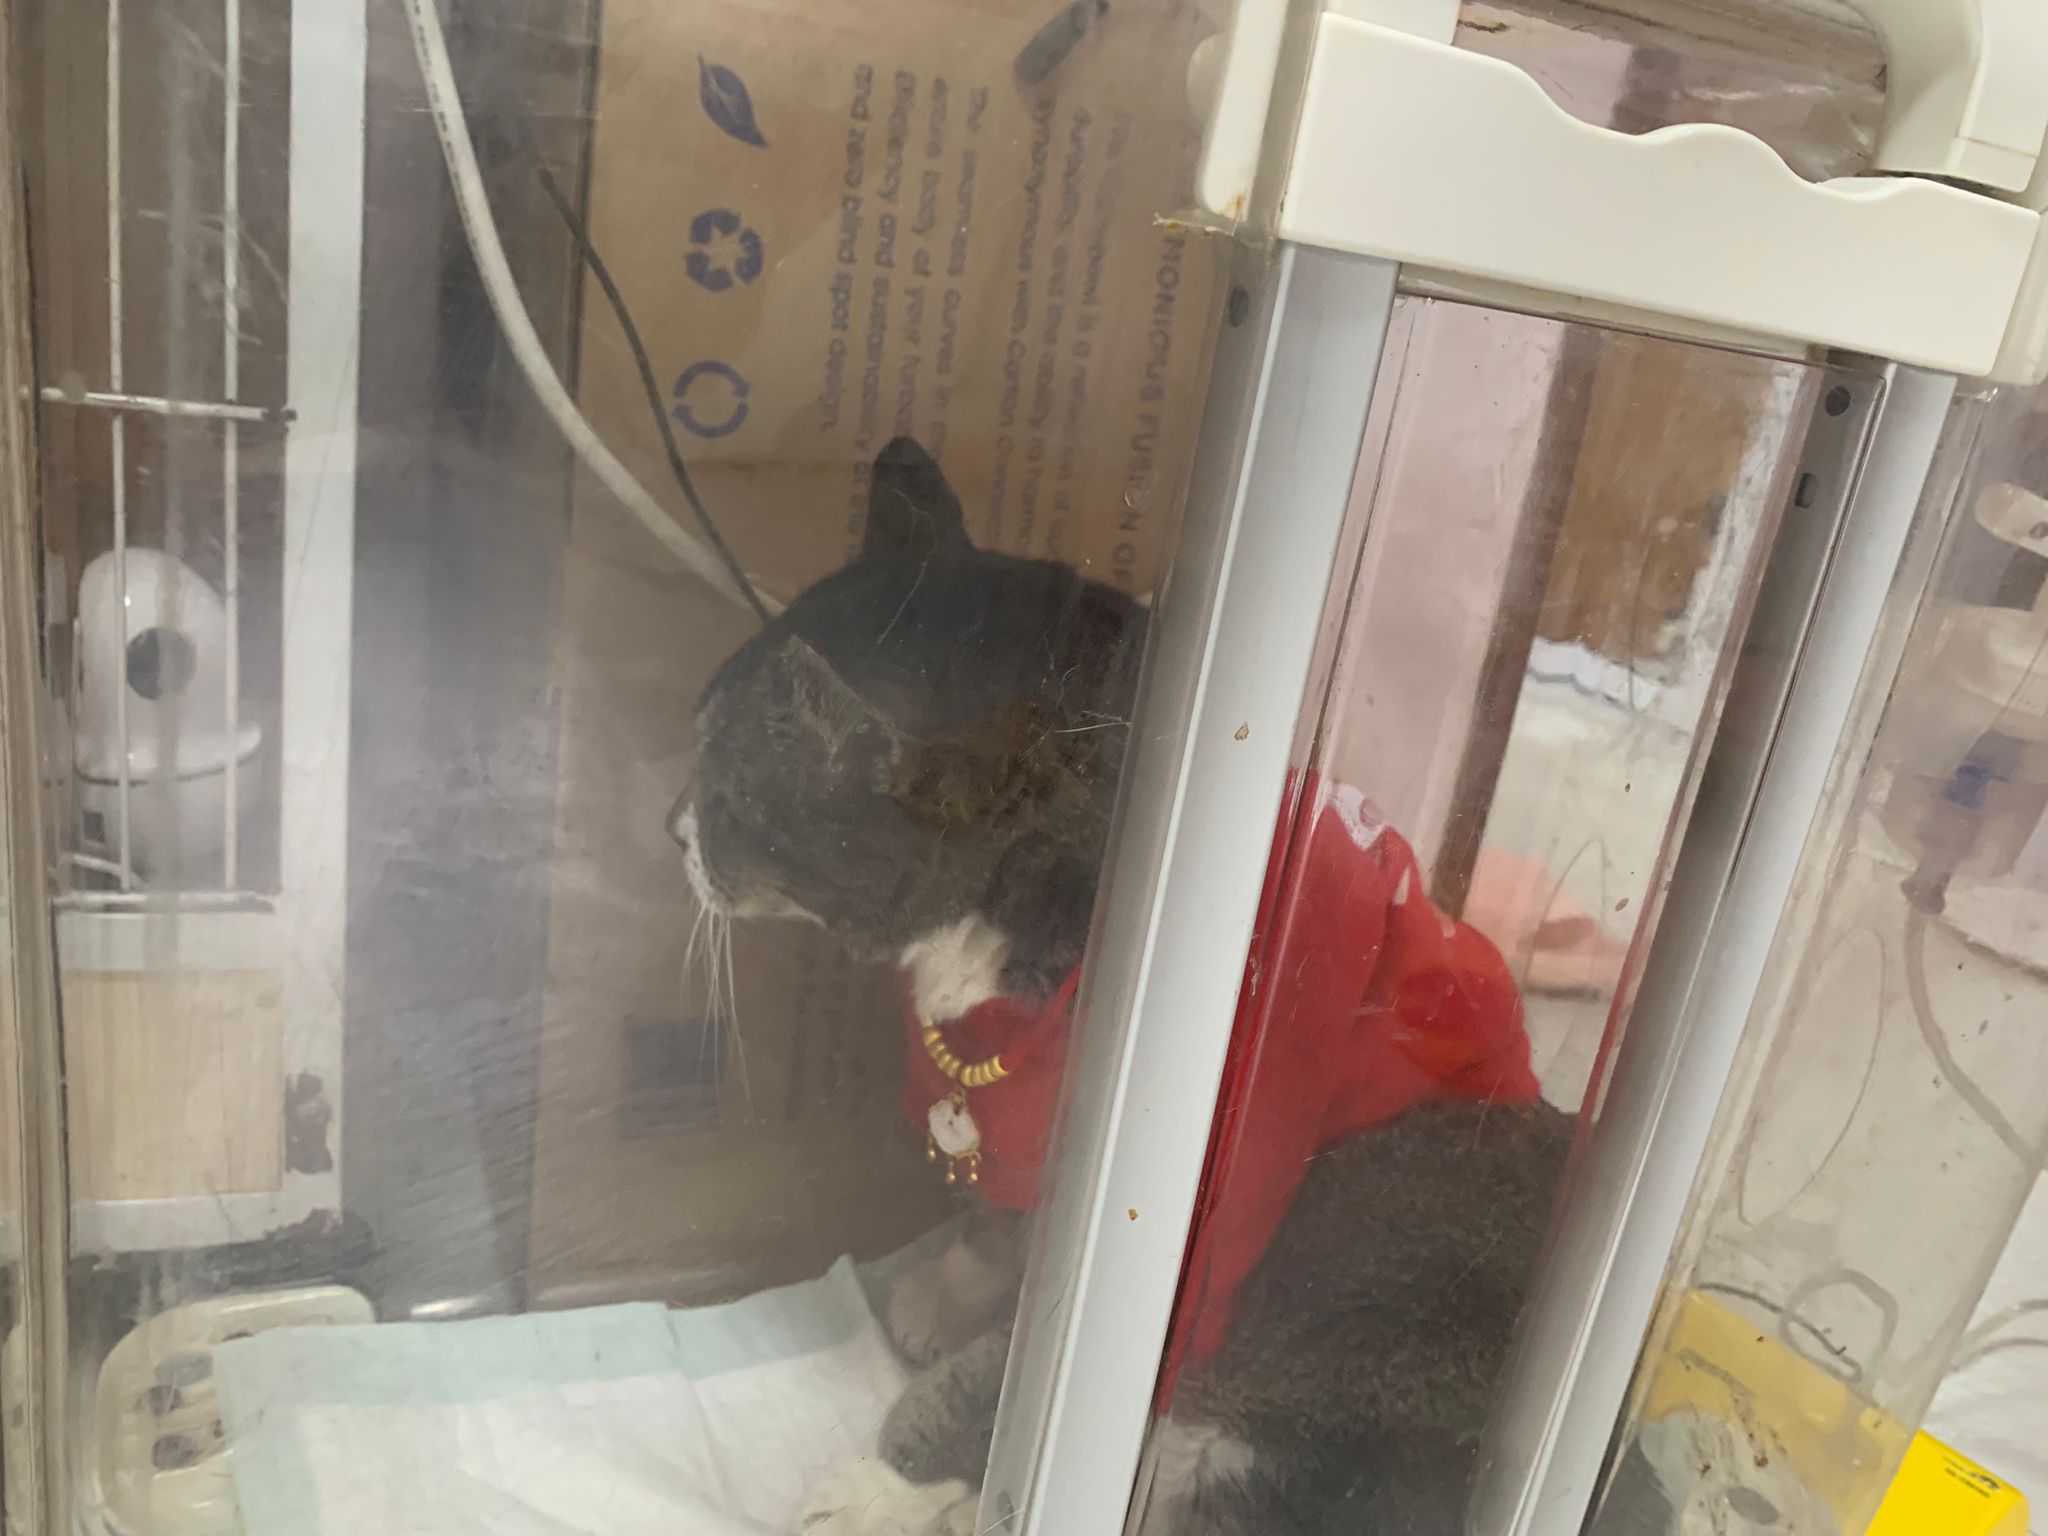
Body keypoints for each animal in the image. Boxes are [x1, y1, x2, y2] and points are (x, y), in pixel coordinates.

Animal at [671, 436, 1576, 1535]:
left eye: (725, 794)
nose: (672, 830)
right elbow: (993, 1242)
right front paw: (939, 1303)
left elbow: (995, 1388)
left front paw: (881, 1486)